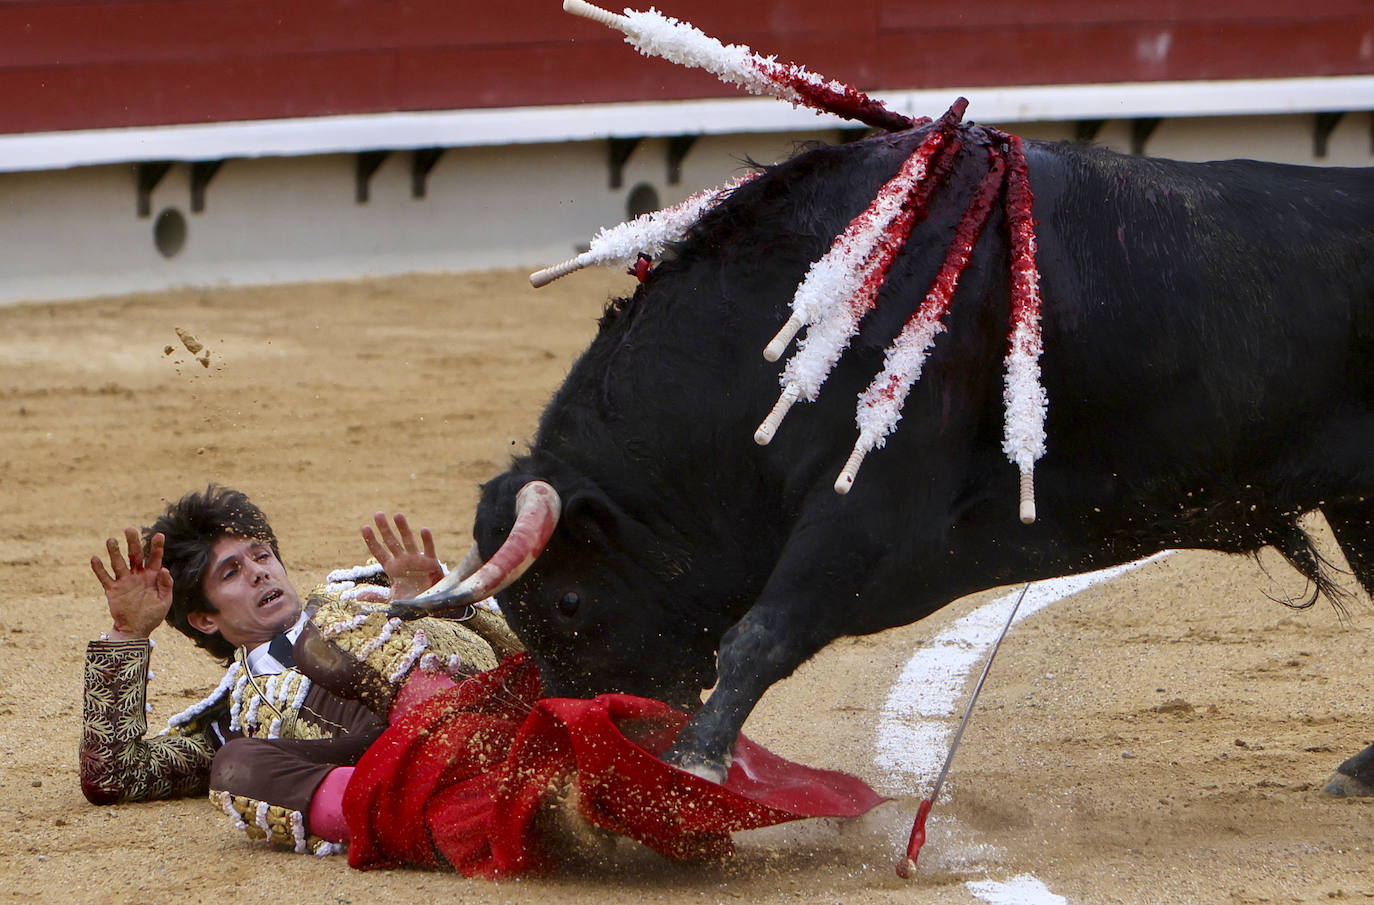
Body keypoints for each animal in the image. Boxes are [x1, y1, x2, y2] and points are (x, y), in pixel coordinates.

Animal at [401, 120, 1374, 785]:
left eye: (568, 602)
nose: (568, 751)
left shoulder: (869, 509)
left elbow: (759, 633)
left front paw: (694, 765)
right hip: (1360, 502)